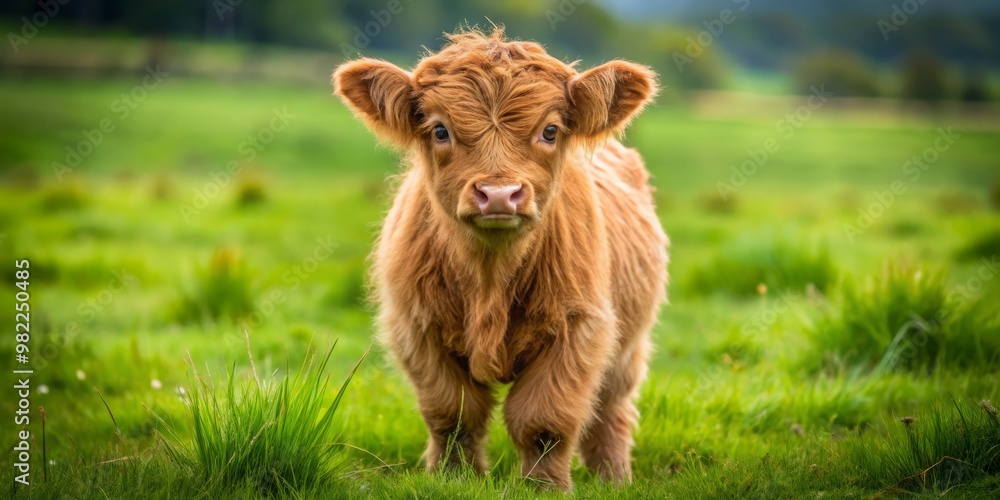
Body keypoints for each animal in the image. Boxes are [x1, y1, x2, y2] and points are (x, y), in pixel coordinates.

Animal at [333, 27, 668, 491]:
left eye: (550, 131)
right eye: (440, 130)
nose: (497, 194)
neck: (489, 280)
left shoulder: (579, 327)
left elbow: (543, 421)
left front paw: (544, 488)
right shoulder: (417, 327)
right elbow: (453, 415)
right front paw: (453, 477)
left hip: (627, 348)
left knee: (611, 411)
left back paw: (613, 479)